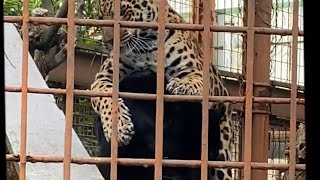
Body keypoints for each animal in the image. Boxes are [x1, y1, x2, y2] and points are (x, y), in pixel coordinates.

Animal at [91, 0, 234, 179]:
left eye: (123, 12)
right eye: (101, 18)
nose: (109, 42)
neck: (145, 46)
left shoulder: (195, 71)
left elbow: (192, 80)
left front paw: (179, 86)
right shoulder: (102, 77)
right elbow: (106, 98)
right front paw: (119, 126)